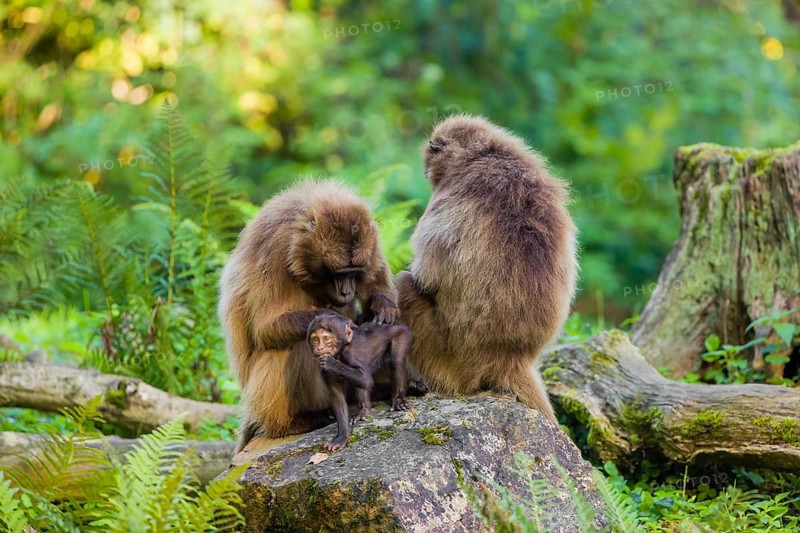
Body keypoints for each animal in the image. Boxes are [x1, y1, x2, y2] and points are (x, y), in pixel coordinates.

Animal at [218, 178, 399, 453]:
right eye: (338, 274)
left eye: (354, 272)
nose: (347, 292)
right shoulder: (274, 251)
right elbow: (265, 329)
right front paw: (334, 318)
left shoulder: (372, 245)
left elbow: (380, 296)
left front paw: (382, 306)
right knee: (288, 345)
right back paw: (288, 425)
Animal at [307, 312, 412, 451]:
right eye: (315, 339)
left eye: (326, 338)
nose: (319, 347)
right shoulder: (323, 371)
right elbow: (337, 396)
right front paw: (342, 436)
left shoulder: (350, 353)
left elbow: (365, 378)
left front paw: (331, 363)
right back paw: (364, 411)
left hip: (402, 334)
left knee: (396, 360)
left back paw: (398, 399)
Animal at [396, 115, 578, 424]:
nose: (425, 170)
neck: (484, 155)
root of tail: (511, 358)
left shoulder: (444, 198)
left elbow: (426, 279)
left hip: (449, 358)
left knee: (403, 285)